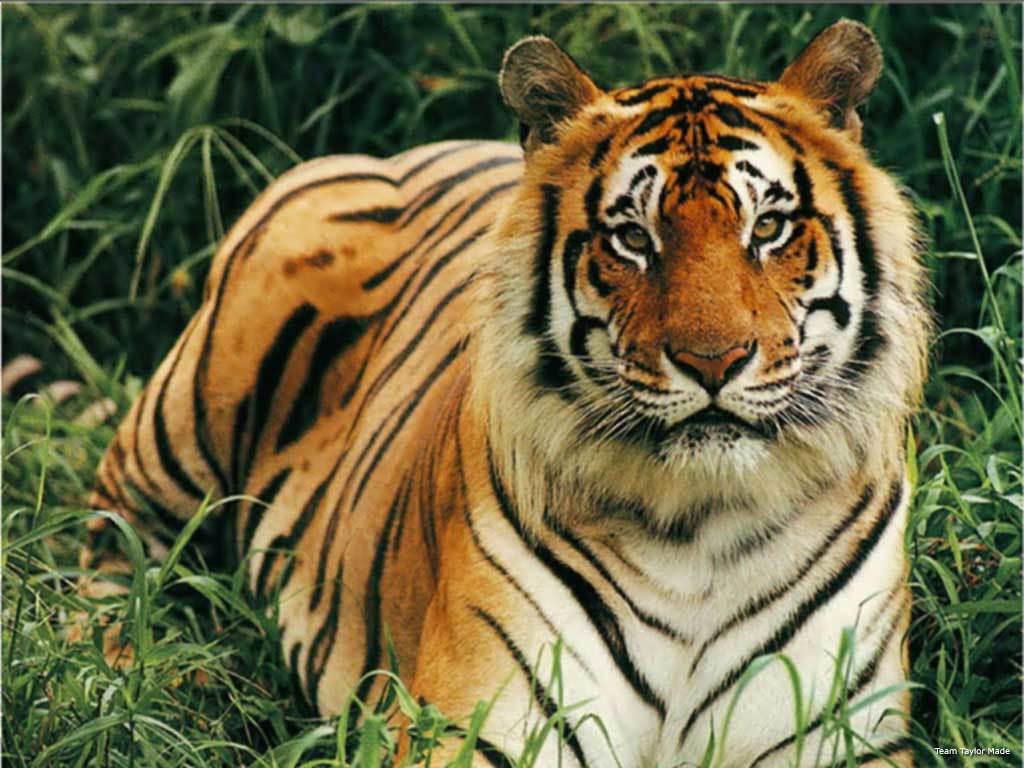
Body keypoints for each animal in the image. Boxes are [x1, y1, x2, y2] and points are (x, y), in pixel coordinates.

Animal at [86, 19, 929, 767]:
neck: (702, 530)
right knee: (112, 538)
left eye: (770, 228)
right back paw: (132, 670)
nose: (712, 362)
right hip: (186, 418)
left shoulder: (841, 735)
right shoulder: (480, 725)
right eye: (633, 238)